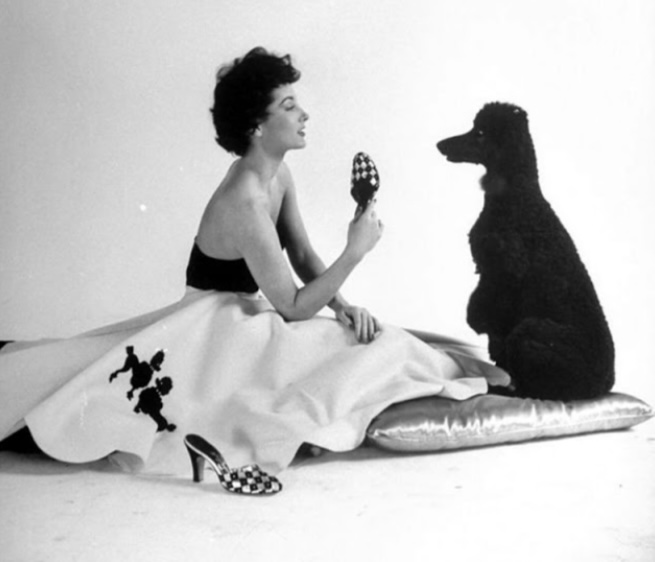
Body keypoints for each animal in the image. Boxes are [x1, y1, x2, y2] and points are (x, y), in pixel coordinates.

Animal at [436, 102, 614, 400]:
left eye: (480, 133)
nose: (440, 144)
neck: (517, 195)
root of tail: (605, 385)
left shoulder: (503, 272)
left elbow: (484, 314)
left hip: (530, 331)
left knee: (541, 388)